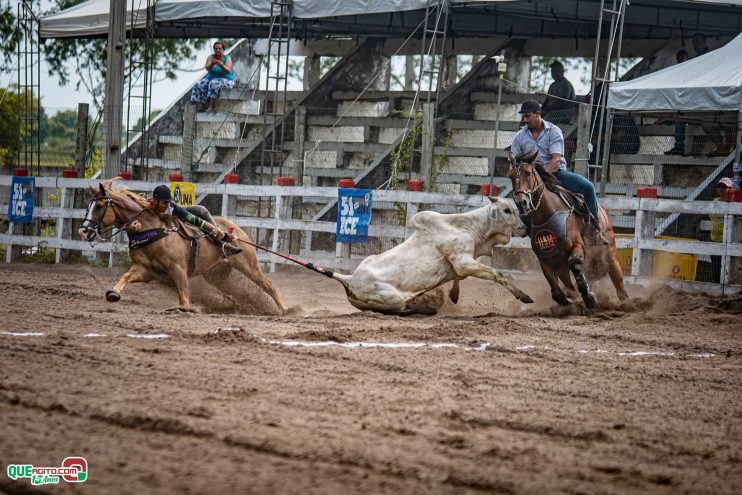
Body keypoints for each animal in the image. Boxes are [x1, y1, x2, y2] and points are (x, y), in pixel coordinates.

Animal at [80, 180, 290, 314]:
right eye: (88, 205)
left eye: (99, 206)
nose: (83, 231)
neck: (153, 229)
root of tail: (235, 228)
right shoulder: (144, 269)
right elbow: (126, 276)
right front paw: (114, 293)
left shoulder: (178, 268)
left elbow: (183, 294)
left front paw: (186, 309)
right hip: (217, 274)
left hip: (248, 265)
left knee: (268, 285)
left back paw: (285, 310)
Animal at [512, 151, 628, 308]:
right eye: (511, 175)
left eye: (528, 173)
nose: (521, 202)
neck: (548, 214)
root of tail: (603, 211)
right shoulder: (546, 260)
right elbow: (557, 291)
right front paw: (573, 298)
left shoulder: (577, 246)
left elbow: (574, 263)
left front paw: (588, 296)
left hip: (609, 257)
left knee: (619, 284)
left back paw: (627, 303)